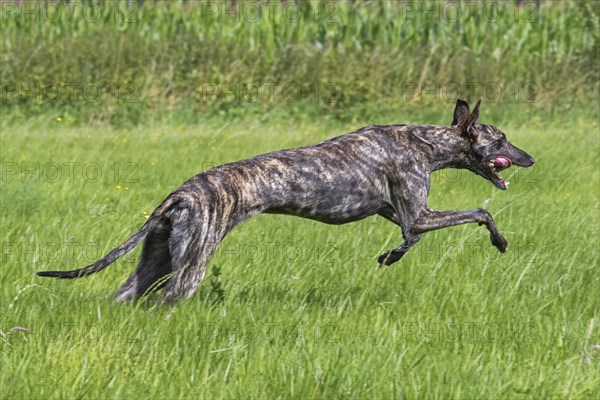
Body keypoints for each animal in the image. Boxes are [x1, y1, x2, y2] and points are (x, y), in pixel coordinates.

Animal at [37, 99, 536, 304]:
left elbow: (408, 237)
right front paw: (500, 242)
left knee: (124, 294)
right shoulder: (420, 212)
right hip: (192, 265)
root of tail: (181, 193)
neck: (424, 142)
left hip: (154, 262)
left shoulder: (398, 212)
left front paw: (390, 256)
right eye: (501, 139)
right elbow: (480, 211)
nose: (531, 159)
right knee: (168, 299)